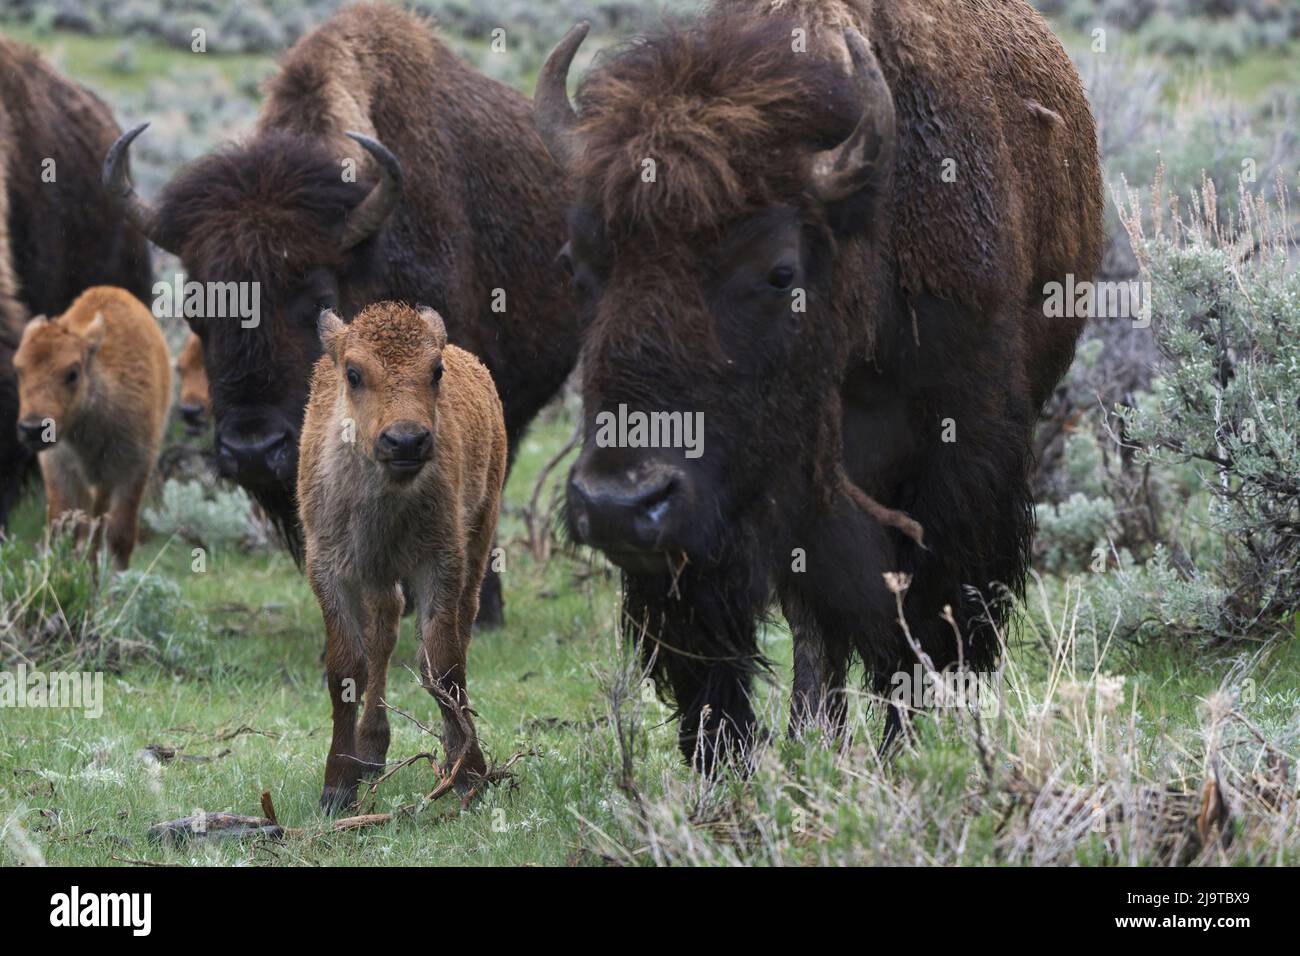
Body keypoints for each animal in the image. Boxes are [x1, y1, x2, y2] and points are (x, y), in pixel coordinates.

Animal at [14, 283, 172, 567]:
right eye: (19, 369)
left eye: (72, 373)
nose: (32, 429)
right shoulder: (59, 467)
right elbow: (63, 527)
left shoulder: (132, 469)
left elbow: (119, 536)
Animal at [299, 303, 506, 811]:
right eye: (353, 373)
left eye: (436, 371)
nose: (407, 441)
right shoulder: (329, 567)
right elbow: (346, 669)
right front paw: (338, 786)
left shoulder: (441, 561)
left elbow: (444, 663)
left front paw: (470, 772)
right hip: (378, 576)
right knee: (384, 634)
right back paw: (371, 752)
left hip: (479, 536)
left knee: (458, 629)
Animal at [533, 0, 1102, 764]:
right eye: (575, 264)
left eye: (780, 272)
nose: (617, 505)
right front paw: (731, 761)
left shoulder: (961, 458)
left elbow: (927, 620)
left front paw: (908, 750)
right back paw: (814, 728)